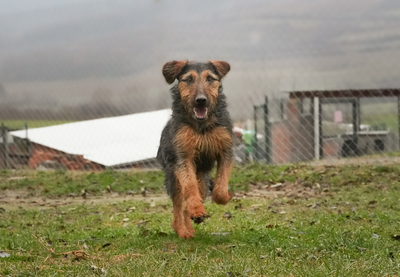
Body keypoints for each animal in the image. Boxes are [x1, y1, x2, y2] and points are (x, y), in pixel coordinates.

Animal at [158, 59, 234, 237]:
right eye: (188, 79)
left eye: (210, 78)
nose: (201, 100)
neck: (202, 127)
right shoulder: (182, 157)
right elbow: (189, 187)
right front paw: (197, 211)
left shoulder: (225, 150)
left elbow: (221, 187)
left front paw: (226, 196)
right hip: (173, 177)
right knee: (179, 205)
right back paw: (183, 230)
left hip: (202, 180)